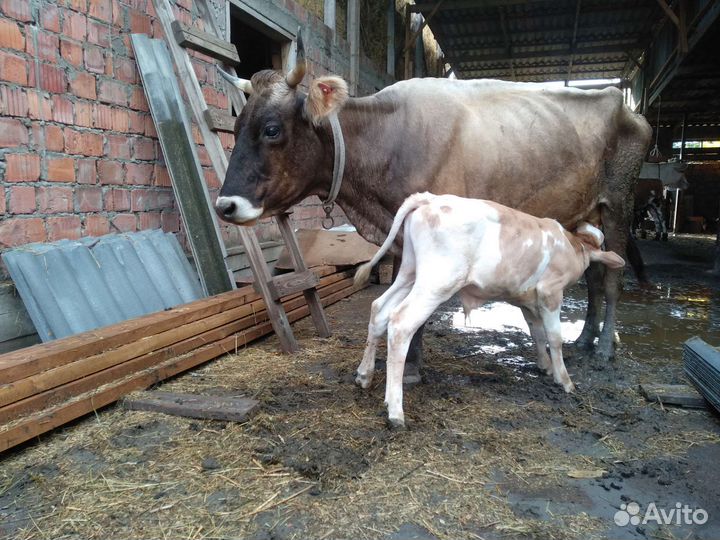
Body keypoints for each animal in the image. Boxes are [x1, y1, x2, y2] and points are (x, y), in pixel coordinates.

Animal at [214, 36, 652, 370]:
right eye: (236, 126)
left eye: (272, 129)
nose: (224, 206)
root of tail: (624, 103)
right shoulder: (399, 233)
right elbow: (396, 290)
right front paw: (406, 360)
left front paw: (410, 366)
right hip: (586, 214)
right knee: (594, 276)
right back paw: (584, 340)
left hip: (619, 204)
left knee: (612, 280)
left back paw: (605, 350)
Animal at [353, 192, 625, 427]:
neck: (572, 246)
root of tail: (430, 198)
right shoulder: (550, 292)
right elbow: (555, 338)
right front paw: (565, 380)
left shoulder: (527, 299)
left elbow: (537, 333)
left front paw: (545, 366)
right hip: (438, 282)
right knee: (400, 323)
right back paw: (395, 411)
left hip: (410, 273)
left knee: (380, 309)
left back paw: (364, 375)